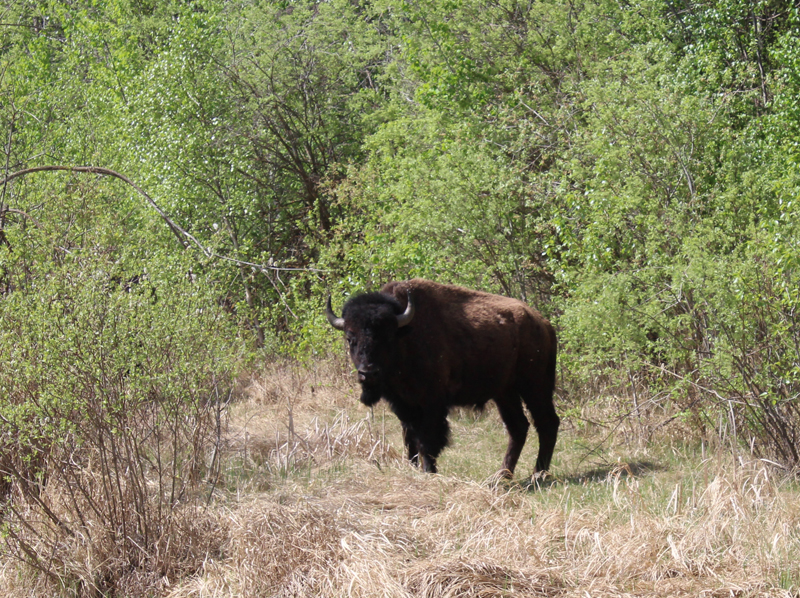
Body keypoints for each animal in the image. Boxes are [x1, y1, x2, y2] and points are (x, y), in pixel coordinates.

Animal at [324, 278, 556, 480]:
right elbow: (410, 440)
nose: (368, 373)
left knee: (547, 422)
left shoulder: (431, 403)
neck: (406, 335)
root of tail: (544, 323)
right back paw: (501, 476)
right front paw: (413, 468)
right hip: (505, 393)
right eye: (350, 338)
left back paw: (537, 475)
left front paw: (429, 472)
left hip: (535, 386)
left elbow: (427, 441)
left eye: (388, 337)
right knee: (518, 427)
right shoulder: (403, 405)